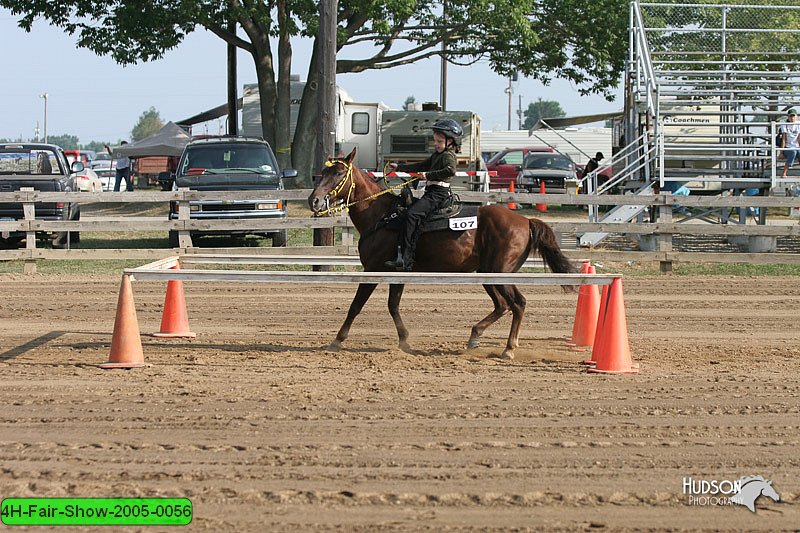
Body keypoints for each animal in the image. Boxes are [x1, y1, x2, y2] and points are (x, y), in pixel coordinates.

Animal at [306, 148, 576, 360]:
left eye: (339, 174)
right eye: (322, 172)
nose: (314, 201)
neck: (382, 215)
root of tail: (525, 221)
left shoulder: (373, 270)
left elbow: (355, 306)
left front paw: (336, 341)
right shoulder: (399, 271)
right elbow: (393, 305)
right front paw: (405, 341)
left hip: (500, 273)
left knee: (517, 303)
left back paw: (508, 349)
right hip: (487, 273)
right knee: (502, 305)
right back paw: (475, 336)